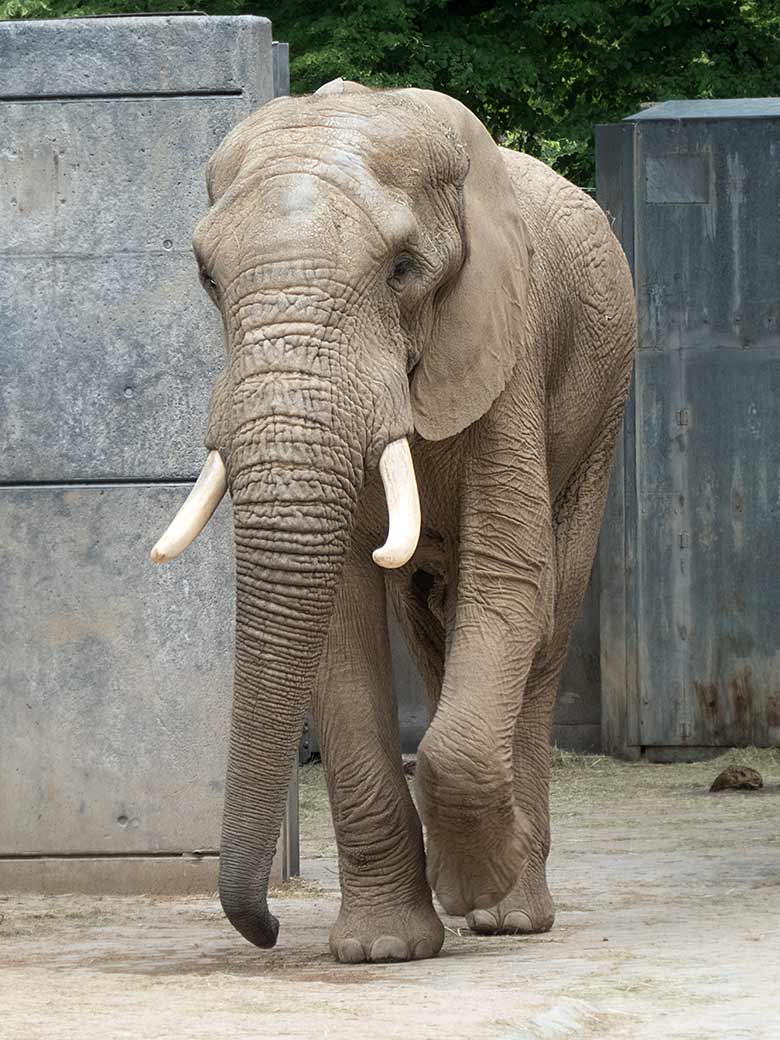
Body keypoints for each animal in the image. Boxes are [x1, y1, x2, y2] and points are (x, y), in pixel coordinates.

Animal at [150, 76, 636, 960]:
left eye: (404, 270)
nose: (267, 927)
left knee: (548, 620)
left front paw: (474, 883)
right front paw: (383, 948)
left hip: (603, 403)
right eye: (206, 278)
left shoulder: (506, 341)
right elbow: (342, 621)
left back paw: (509, 913)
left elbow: (512, 575)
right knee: (433, 614)